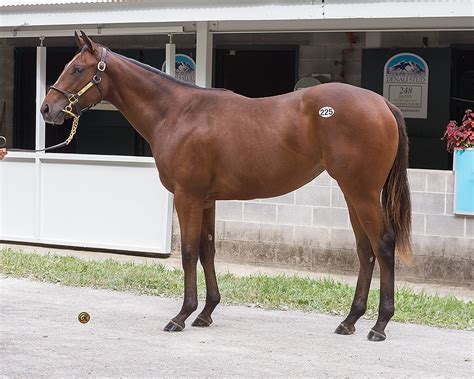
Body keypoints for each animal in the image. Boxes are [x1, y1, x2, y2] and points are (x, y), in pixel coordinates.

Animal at [40, 31, 412, 342]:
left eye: (77, 69)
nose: (47, 109)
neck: (177, 113)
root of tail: (382, 103)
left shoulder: (187, 197)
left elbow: (189, 253)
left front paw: (182, 315)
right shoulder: (206, 200)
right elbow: (207, 251)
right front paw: (205, 313)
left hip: (363, 194)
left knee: (383, 245)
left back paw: (379, 325)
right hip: (352, 194)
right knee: (365, 251)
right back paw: (350, 321)